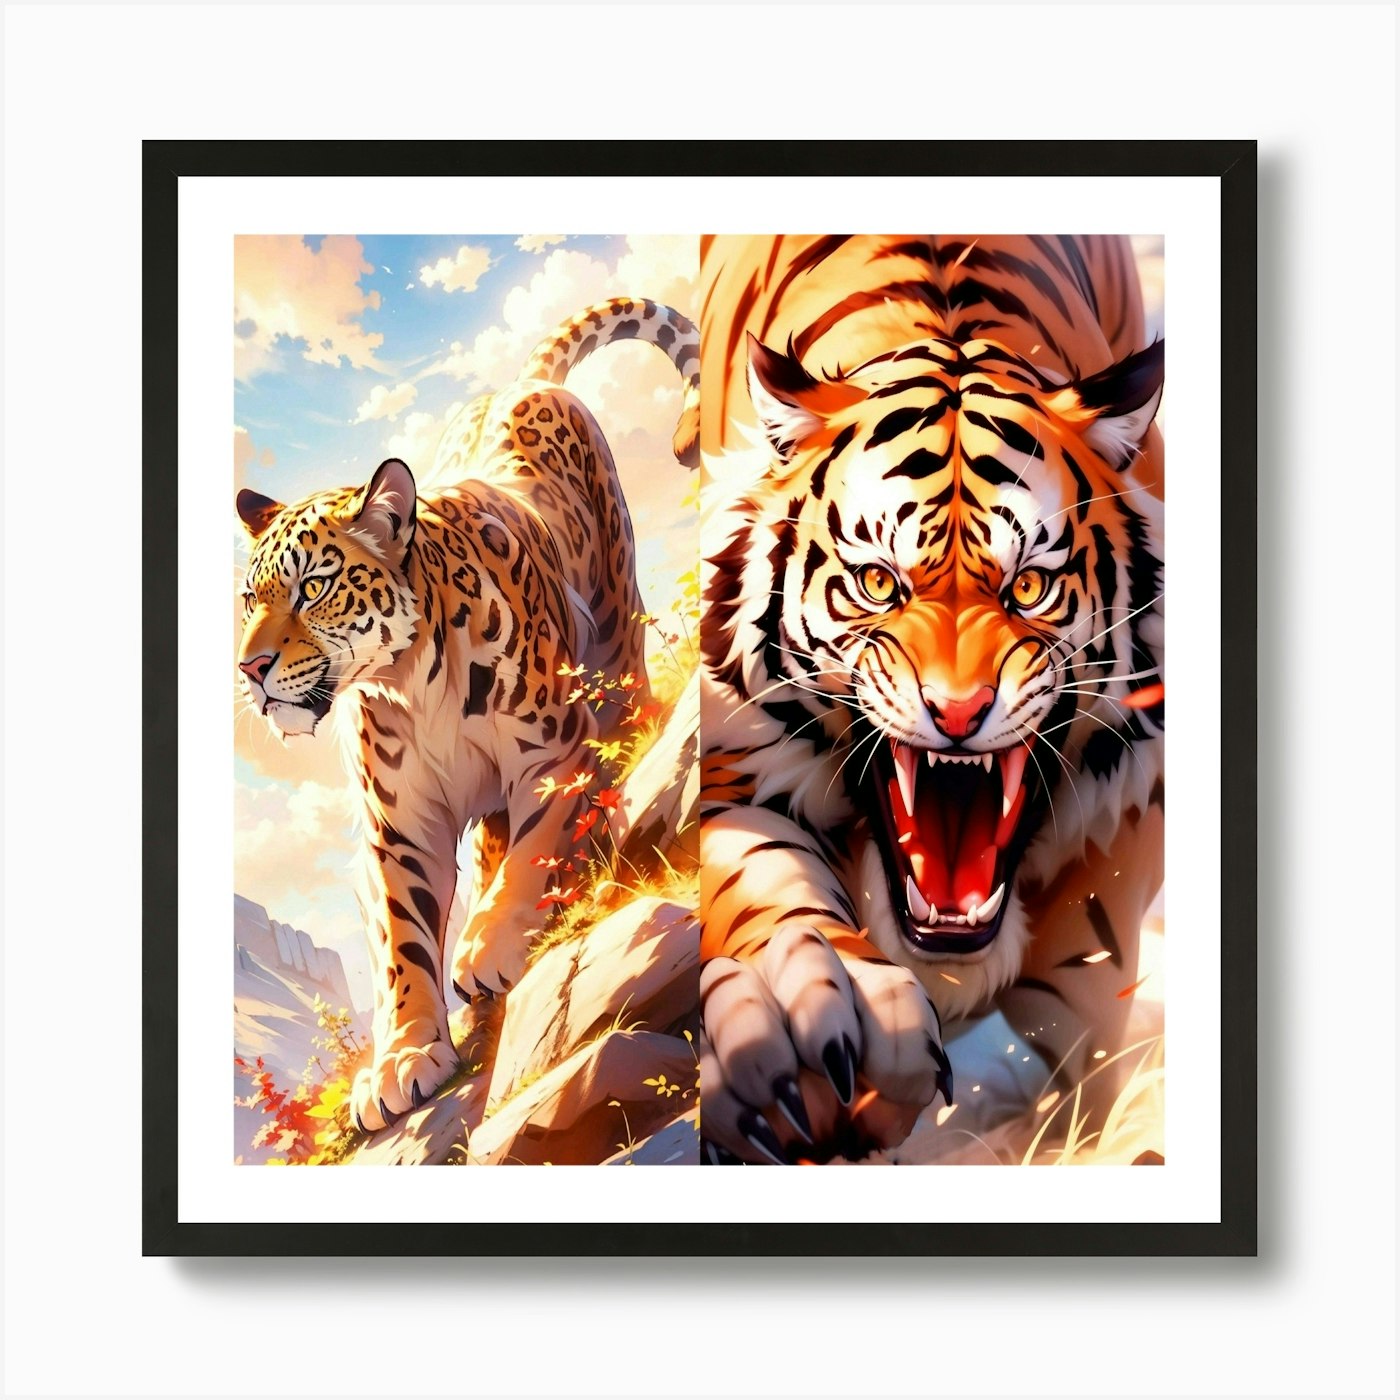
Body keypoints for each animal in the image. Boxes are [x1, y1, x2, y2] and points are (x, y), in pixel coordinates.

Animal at [235, 297, 699, 1134]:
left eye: (315, 586)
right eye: (251, 598)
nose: (249, 670)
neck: (410, 682)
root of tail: (521, 381)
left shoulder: (552, 753)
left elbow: (535, 849)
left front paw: (487, 948)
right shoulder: (397, 825)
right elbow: (402, 943)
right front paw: (406, 1058)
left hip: (614, 628)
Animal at [697, 236, 1165, 1164]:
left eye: (1029, 588)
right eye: (879, 583)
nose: (956, 712)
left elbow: (1088, 996)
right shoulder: (737, 757)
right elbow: (762, 874)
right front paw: (800, 1012)